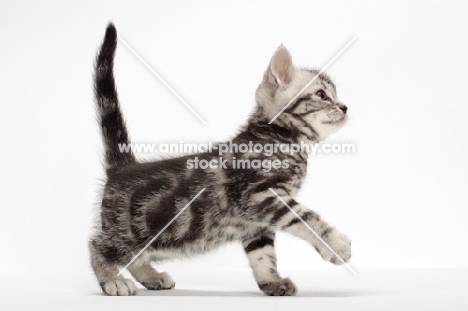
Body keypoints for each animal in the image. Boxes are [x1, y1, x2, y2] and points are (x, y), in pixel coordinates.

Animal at [89, 23, 352, 298]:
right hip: (132, 232)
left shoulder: (255, 224)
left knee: (134, 258)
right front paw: (335, 243)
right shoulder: (258, 195)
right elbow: (304, 217)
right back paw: (112, 280)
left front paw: (272, 281)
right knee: (98, 246)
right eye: (322, 95)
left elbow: (262, 255)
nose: (345, 107)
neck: (280, 138)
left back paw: (152, 276)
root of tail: (122, 168)